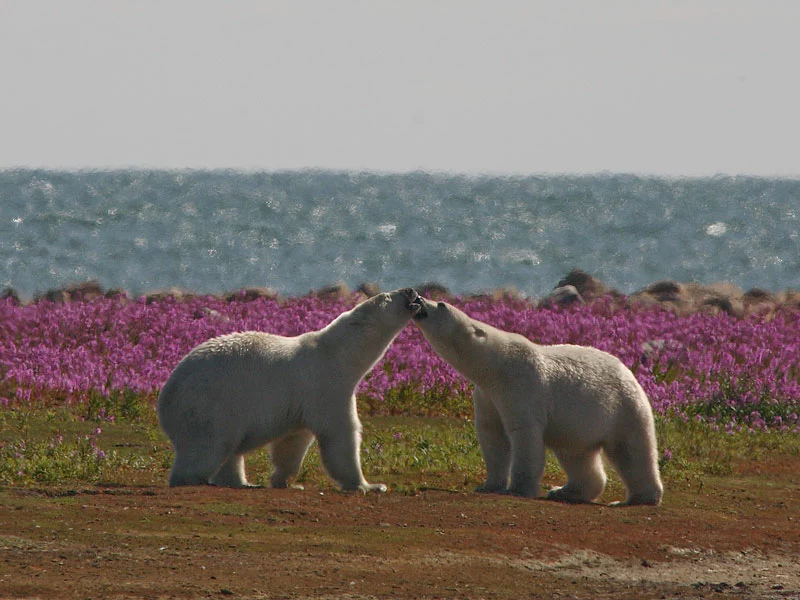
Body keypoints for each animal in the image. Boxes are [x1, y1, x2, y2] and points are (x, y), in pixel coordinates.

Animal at [155, 288, 418, 490]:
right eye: (387, 295)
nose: (411, 290)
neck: (336, 352)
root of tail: (166, 396)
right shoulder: (326, 385)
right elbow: (340, 434)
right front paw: (369, 485)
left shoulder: (301, 401)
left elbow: (293, 442)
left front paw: (284, 480)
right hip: (210, 404)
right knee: (208, 447)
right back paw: (194, 479)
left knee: (231, 452)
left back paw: (242, 482)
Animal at [412, 298, 664, 504]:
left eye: (441, 304)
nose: (418, 298)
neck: (495, 366)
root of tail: (630, 372)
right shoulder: (487, 395)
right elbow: (492, 435)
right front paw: (487, 485)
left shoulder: (519, 385)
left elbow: (523, 432)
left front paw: (518, 488)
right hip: (577, 423)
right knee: (577, 455)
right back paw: (564, 491)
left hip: (623, 406)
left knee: (632, 450)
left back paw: (639, 498)